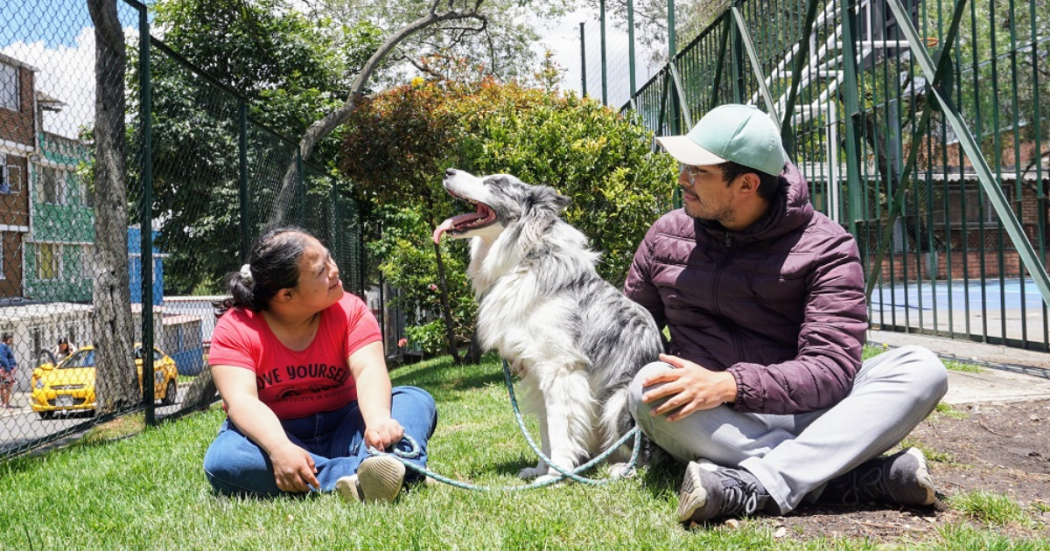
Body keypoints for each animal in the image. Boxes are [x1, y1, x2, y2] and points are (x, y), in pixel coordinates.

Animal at [430, 167, 659, 480]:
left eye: (495, 183)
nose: (448, 171)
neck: (524, 258)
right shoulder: (536, 371)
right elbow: (545, 429)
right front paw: (541, 470)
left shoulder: (561, 369)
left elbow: (560, 427)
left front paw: (556, 474)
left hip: (620, 398)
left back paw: (623, 469)